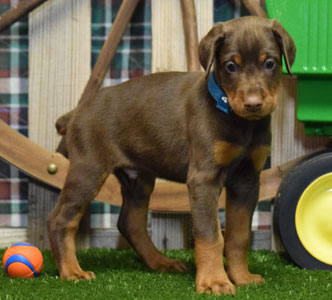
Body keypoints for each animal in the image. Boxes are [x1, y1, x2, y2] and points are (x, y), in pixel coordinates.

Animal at [48, 16, 296, 296]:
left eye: (270, 63)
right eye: (230, 66)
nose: (253, 105)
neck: (238, 122)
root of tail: (76, 112)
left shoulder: (248, 180)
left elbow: (239, 234)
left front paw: (241, 276)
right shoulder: (204, 178)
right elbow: (210, 234)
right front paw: (214, 281)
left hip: (138, 178)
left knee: (130, 222)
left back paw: (161, 262)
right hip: (88, 169)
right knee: (60, 220)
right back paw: (72, 271)